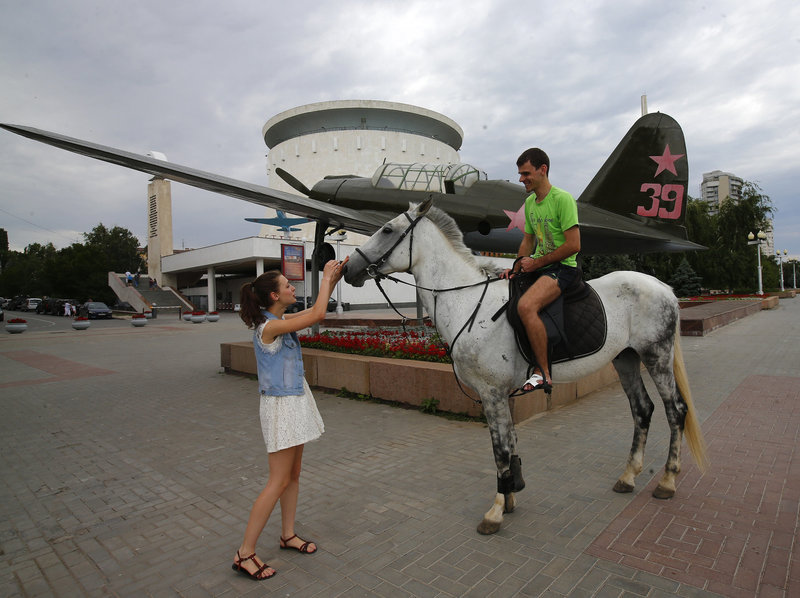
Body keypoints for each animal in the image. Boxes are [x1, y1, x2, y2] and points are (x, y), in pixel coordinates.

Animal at [344, 200, 708, 536]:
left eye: (386, 229)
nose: (349, 268)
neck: (468, 303)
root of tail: (664, 289)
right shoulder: (501, 395)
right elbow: (511, 443)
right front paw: (510, 496)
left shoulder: (491, 393)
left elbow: (500, 449)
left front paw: (495, 511)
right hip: (626, 359)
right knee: (642, 409)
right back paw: (629, 475)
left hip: (656, 356)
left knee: (675, 411)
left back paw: (667, 480)